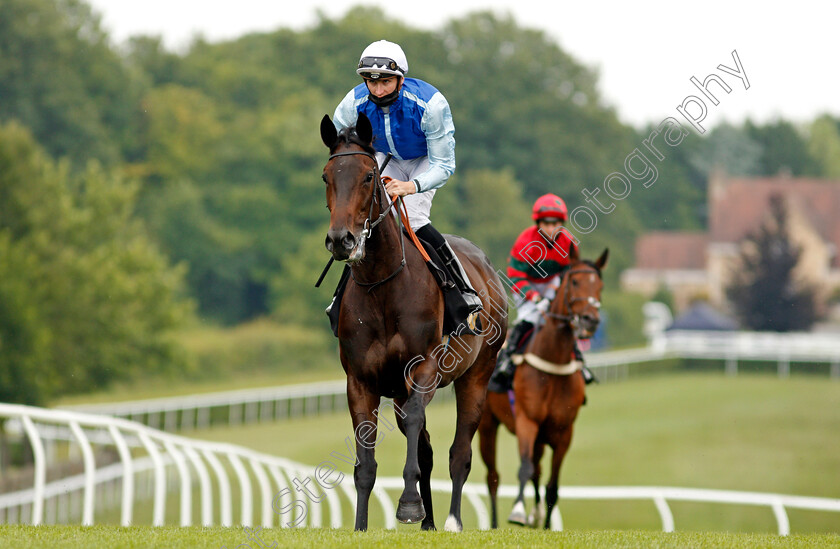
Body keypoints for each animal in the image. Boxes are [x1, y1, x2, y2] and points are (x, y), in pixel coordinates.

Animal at [320, 112, 506, 532]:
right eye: (326, 176)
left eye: (369, 176)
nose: (341, 240)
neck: (382, 286)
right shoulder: (361, 381)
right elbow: (367, 459)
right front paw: (361, 526)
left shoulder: (424, 368)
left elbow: (416, 427)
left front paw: (407, 505)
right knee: (427, 449)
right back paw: (430, 523)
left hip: (476, 375)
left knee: (458, 452)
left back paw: (451, 521)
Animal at [476, 244, 608, 528]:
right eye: (575, 282)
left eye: (600, 286)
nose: (589, 320)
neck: (553, 361)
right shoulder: (527, 420)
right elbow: (524, 469)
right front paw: (517, 511)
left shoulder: (563, 431)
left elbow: (552, 486)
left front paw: (546, 525)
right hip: (488, 425)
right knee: (493, 477)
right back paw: (494, 523)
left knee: (537, 471)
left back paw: (535, 515)